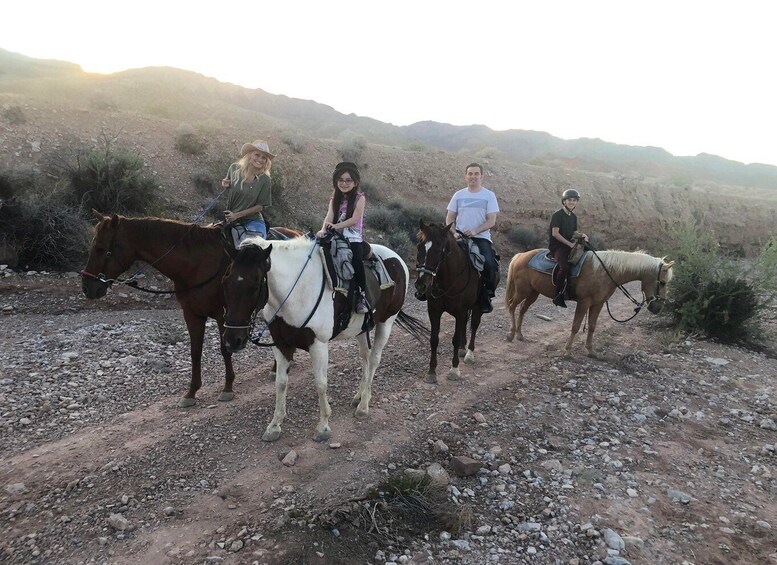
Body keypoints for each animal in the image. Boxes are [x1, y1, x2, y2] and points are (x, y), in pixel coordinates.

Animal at [79, 212, 298, 406]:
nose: (87, 288)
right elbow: (195, 351)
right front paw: (191, 392)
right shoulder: (192, 314)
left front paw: (227, 388)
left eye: (100, 248)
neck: (196, 264)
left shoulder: (223, 315)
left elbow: (224, 349)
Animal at [218, 236, 424, 442]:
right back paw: (359, 395)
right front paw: (274, 425)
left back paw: (364, 405)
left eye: (254, 287)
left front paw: (323, 426)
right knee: (365, 357)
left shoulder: (318, 345)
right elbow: (281, 383)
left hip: (386, 322)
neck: (296, 292)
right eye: (225, 282)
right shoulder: (281, 344)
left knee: (374, 359)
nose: (232, 340)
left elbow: (320, 384)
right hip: (361, 329)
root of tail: (397, 258)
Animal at [412, 220, 498, 384]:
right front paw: (431, 372)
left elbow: (455, 339)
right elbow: (434, 339)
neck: (448, 279)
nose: (421, 285)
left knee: (474, 326)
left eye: (439, 250)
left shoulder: (460, 311)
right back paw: (463, 350)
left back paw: (469, 354)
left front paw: (454, 370)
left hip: (477, 307)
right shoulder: (434, 310)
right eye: (419, 247)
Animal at [504, 247, 672, 352]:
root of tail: (520, 256)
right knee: (512, 306)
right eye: (663, 282)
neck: (606, 271)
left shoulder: (598, 304)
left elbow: (591, 326)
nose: (658, 307)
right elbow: (575, 326)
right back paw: (511, 334)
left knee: (522, 310)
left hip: (533, 293)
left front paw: (590, 350)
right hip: (523, 291)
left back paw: (519, 334)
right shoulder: (584, 302)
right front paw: (567, 351)